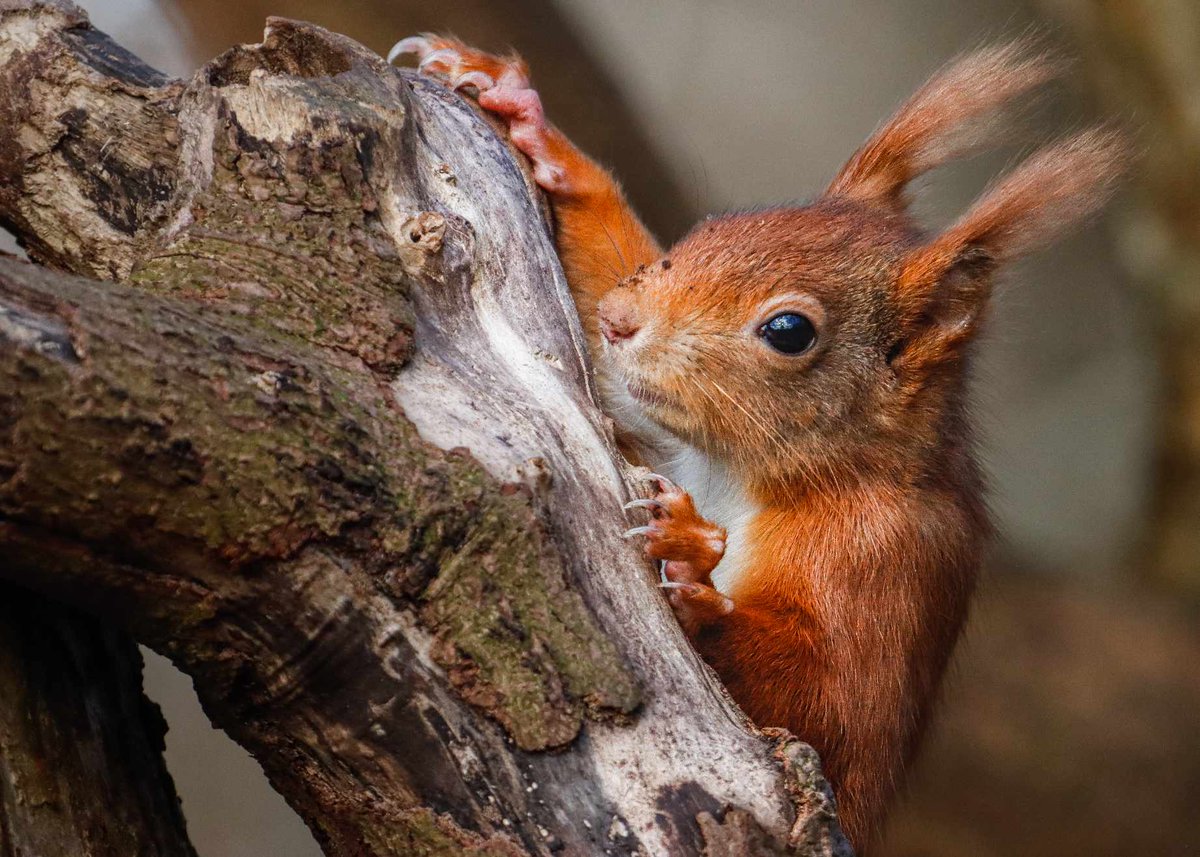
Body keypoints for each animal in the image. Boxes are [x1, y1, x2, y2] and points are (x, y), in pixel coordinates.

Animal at [389, 36, 1128, 851]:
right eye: (715, 225)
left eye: (789, 331)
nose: (618, 320)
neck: (750, 475)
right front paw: (526, 116)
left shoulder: (885, 565)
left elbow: (831, 712)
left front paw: (691, 559)